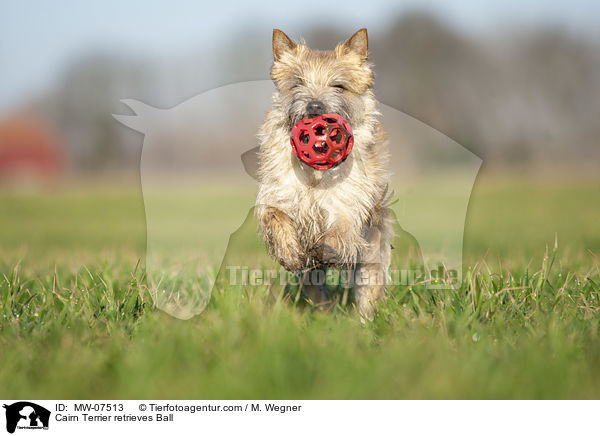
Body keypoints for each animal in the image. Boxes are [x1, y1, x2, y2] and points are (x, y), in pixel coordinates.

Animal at [254, 28, 392, 320]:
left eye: (338, 86)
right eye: (297, 84)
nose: (315, 107)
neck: (314, 173)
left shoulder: (346, 204)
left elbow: (339, 230)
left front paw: (324, 248)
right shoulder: (277, 195)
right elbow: (275, 217)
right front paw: (289, 252)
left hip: (373, 252)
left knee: (368, 287)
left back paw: (363, 320)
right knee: (316, 289)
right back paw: (324, 314)